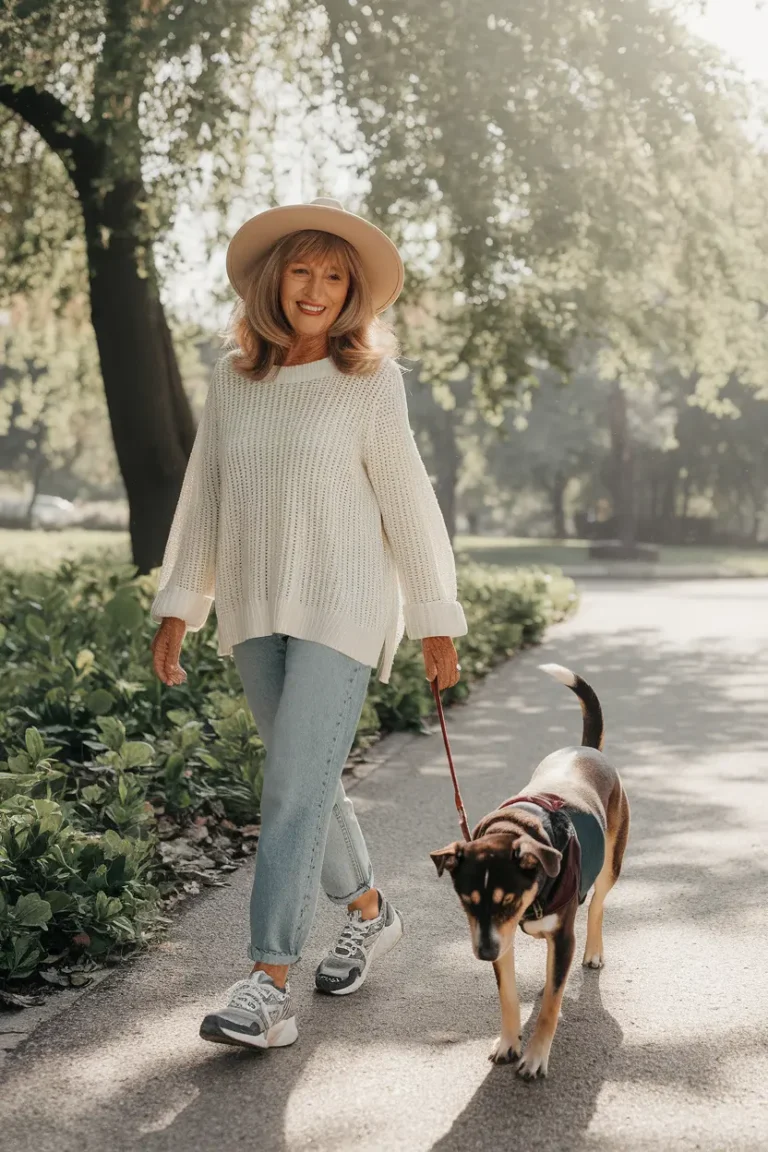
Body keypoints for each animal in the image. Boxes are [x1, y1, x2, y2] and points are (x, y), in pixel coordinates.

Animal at [430, 668, 626, 1078]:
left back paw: (593, 952)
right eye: (467, 902)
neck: (519, 828)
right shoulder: (498, 935)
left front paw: (535, 1056)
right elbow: (508, 995)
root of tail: (588, 750)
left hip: (611, 864)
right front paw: (509, 1042)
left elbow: (551, 1007)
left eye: (508, 900)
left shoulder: (560, 936)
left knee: (597, 903)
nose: (485, 952)